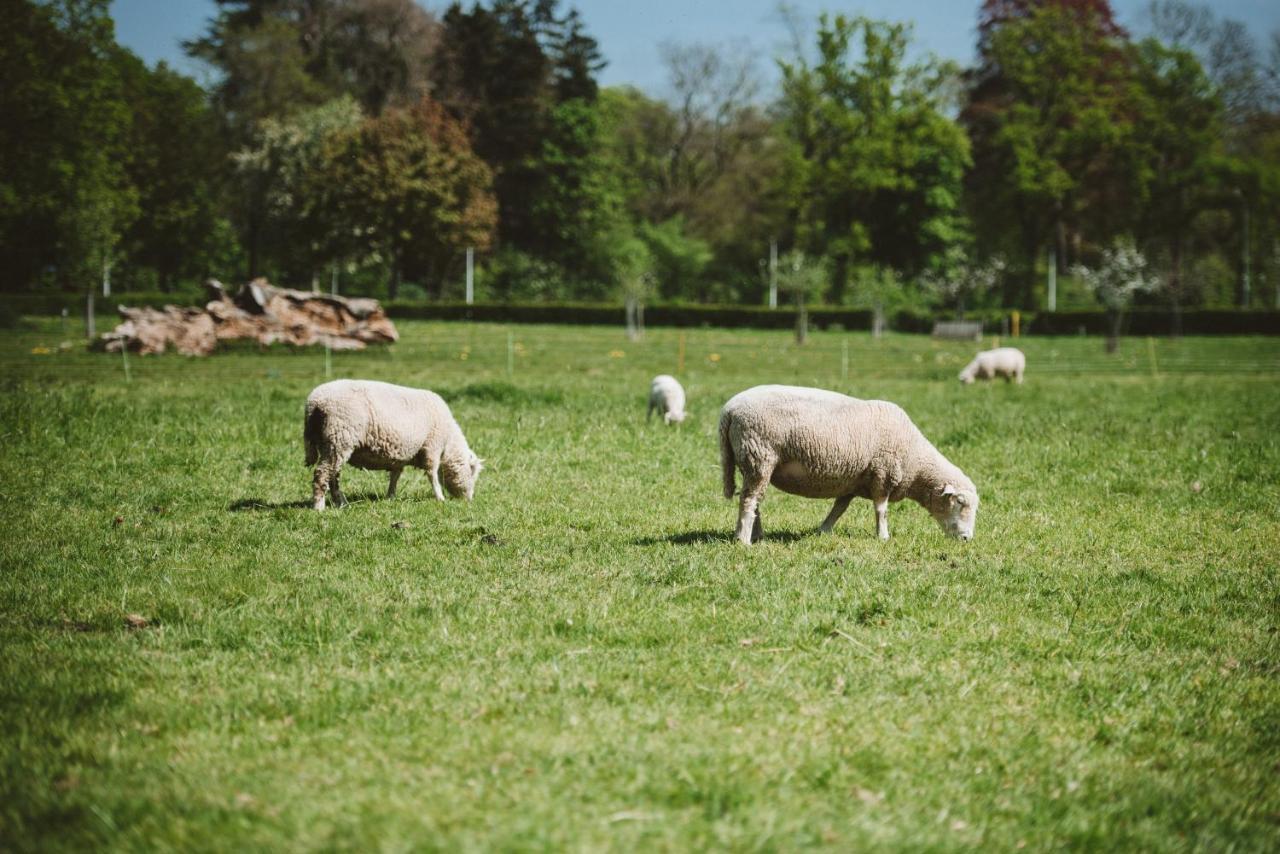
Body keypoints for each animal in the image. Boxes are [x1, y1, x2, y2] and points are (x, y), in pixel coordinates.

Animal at [302, 378, 481, 512]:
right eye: (472, 472)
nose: (470, 500)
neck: (448, 442)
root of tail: (314, 402)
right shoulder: (432, 446)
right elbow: (432, 474)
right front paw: (440, 498)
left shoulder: (401, 454)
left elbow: (395, 475)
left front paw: (390, 497)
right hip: (339, 439)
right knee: (322, 473)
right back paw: (319, 506)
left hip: (330, 444)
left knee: (333, 476)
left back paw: (340, 503)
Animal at [721, 384, 977, 545]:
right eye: (960, 502)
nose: (967, 539)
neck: (915, 463)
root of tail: (730, 409)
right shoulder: (882, 474)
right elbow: (881, 510)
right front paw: (883, 537)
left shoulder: (853, 481)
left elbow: (839, 509)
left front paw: (823, 531)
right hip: (760, 456)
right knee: (749, 500)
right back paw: (743, 540)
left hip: (752, 462)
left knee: (754, 500)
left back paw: (757, 536)